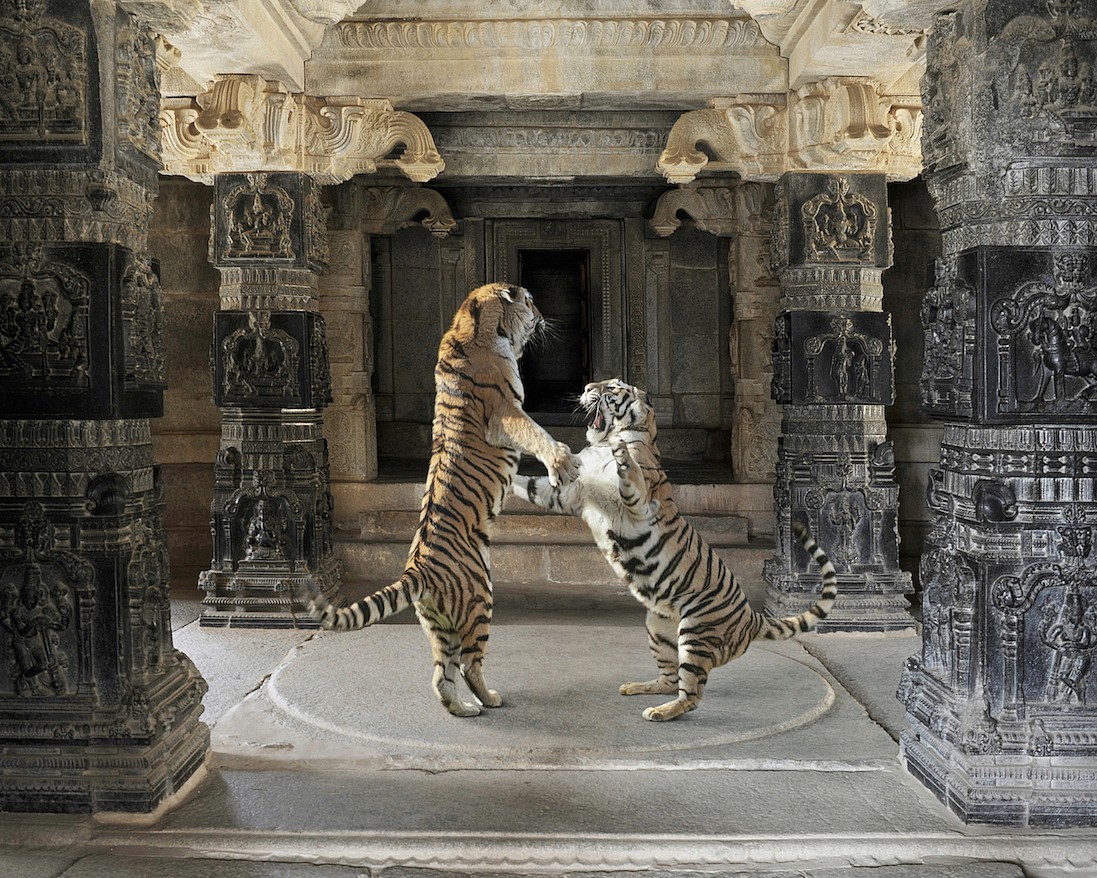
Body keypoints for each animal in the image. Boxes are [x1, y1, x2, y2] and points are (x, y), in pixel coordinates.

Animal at [300, 285, 574, 715]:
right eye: (530, 301)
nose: (543, 316)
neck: (473, 327)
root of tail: (418, 572)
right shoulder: (506, 412)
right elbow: (536, 433)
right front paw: (562, 462)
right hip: (481, 600)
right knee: (469, 665)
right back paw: (489, 699)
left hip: (439, 626)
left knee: (442, 676)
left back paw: (463, 708)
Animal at [509, 377, 833, 719]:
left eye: (613, 387)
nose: (586, 388)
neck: (601, 442)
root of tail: (751, 617)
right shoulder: (568, 494)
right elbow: (528, 485)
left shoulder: (637, 503)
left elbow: (630, 475)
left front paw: (621, 449)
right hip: (657, 626)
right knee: (669, 679)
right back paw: (637, 689)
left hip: (695, 631)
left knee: (690, 694)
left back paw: (661, 712)